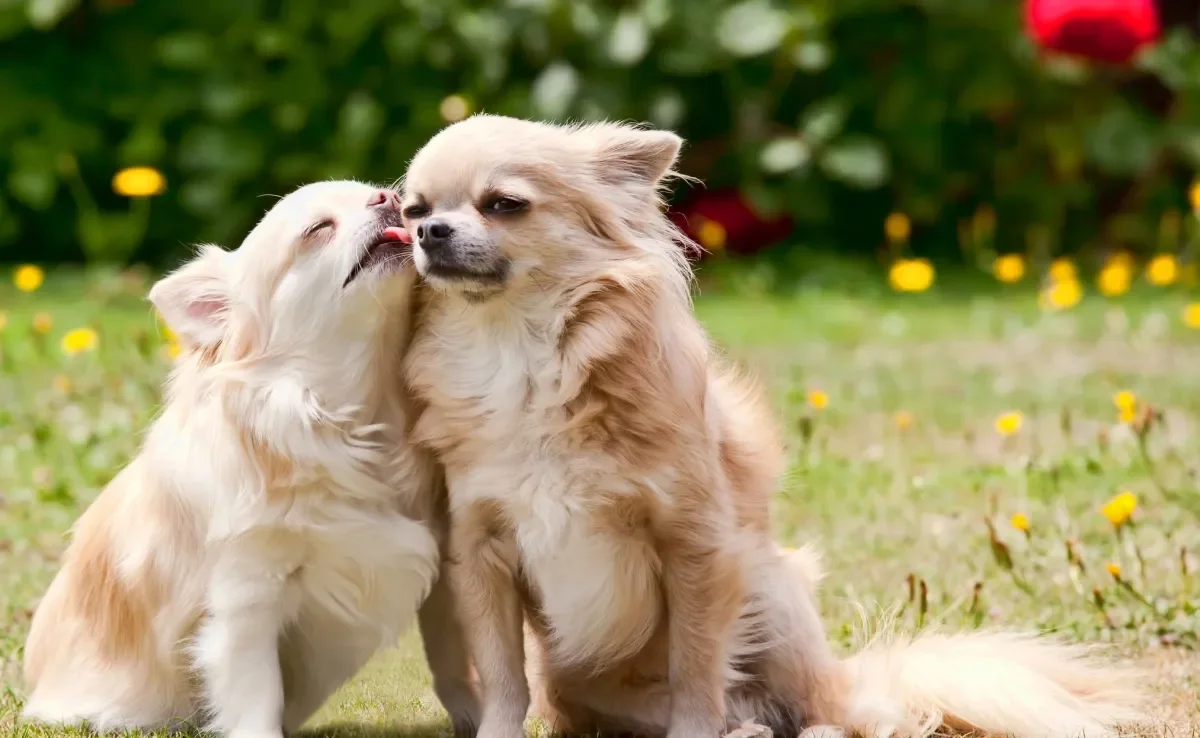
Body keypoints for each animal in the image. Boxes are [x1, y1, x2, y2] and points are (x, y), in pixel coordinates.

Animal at [22, 180, 477, 738]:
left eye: (384, 195)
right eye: (317, 229)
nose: (387, 199)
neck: (355, 416)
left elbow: (463, 668)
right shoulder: (247, 599)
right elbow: (256, 698)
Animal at [400, 117, 1142, 738]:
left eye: (504, 204)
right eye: (415, 210)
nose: (429, 233)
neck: (517, 354)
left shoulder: (697, 547)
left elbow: (697, 666)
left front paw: (697, 735)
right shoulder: (482, 552)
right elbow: (503, 677)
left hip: (774, 591)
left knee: (832, 710)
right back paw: (746, 729)